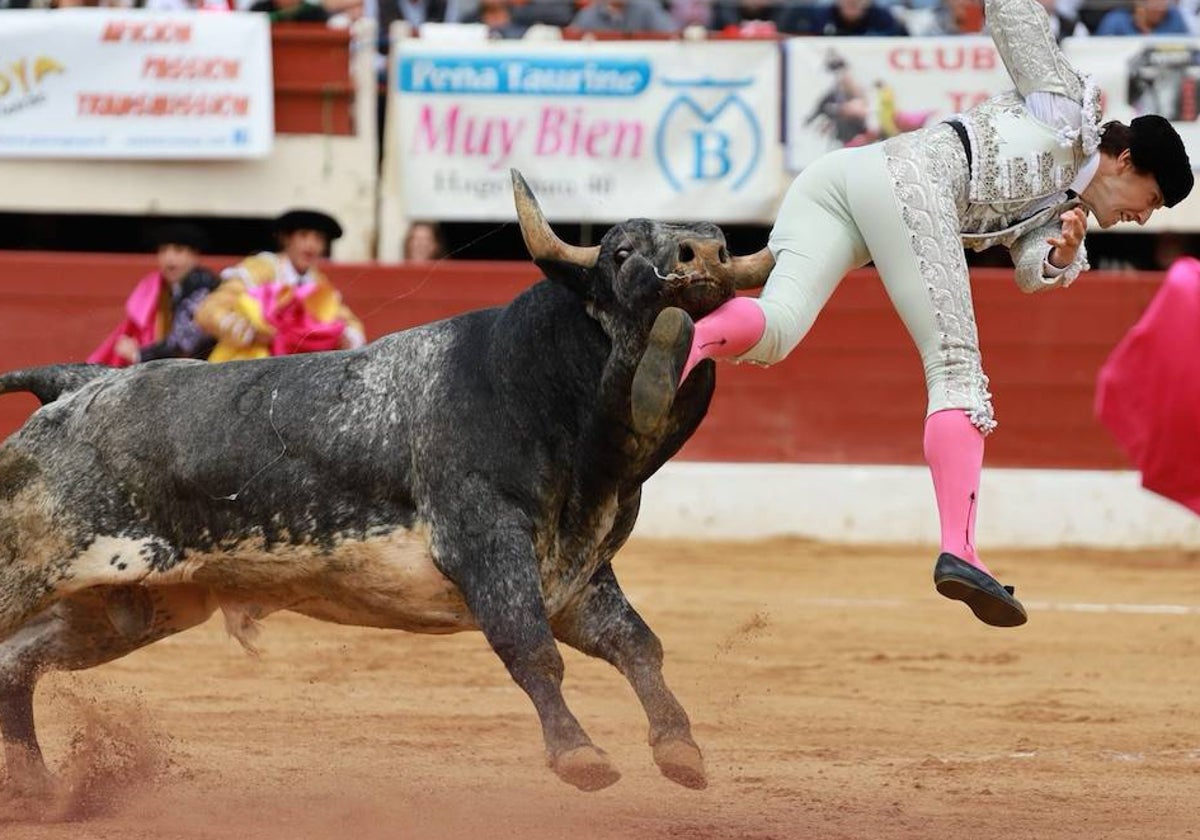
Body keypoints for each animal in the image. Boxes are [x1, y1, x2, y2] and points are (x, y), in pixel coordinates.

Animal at [0, 172, 768, 792]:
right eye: (619, 251)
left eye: (720, 241)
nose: (700, 256)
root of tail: (76, 385)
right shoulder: (487, 543)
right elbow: (531, 651)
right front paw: (581, 757)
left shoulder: (574, 574)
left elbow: (637, 645)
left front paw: (680, 750)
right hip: (33, 567)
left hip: (127, 604)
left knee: (14, 664)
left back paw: (38, 789)